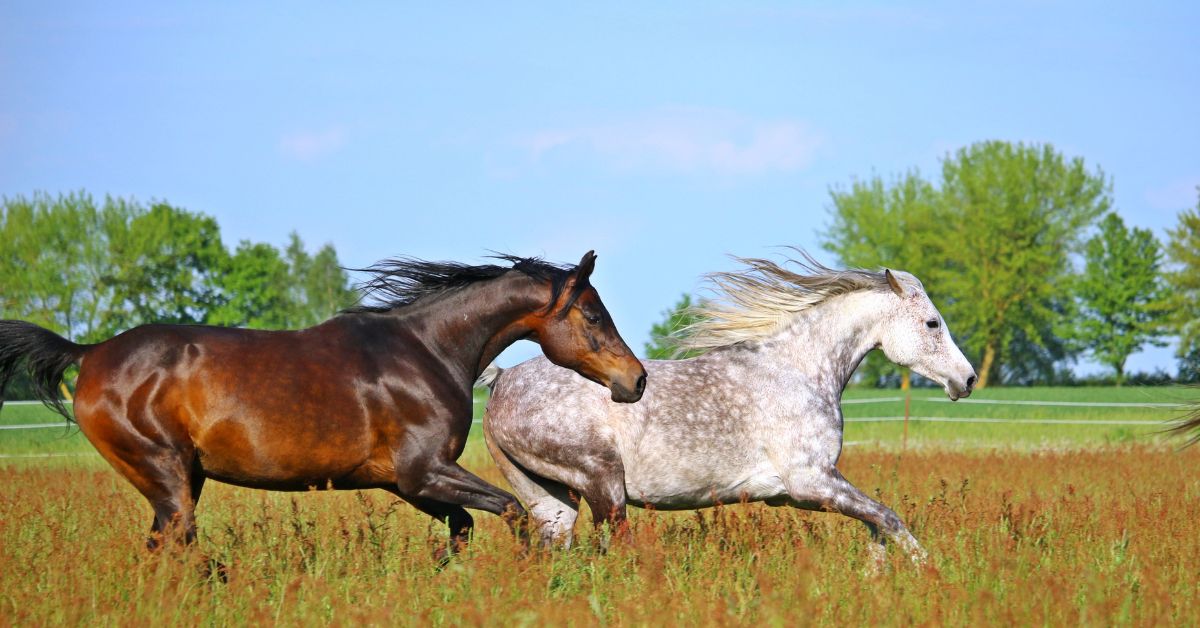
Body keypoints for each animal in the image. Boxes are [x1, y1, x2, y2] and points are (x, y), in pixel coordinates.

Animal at [0, 250, 648, 559]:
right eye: (593, 314)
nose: (636, 380)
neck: (427, 350)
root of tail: (90, 353)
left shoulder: (403, 482)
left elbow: (462, 527)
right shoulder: (424, 472)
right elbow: (512, 511)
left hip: (183, 479)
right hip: (165, 476)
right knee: (176, 547)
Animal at [477, 253, 974, 561]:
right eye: (932, 323)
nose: (966, 379)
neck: (797, 370)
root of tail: (501, 380)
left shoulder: (797, 492)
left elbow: (877, 524)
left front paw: (876, 574)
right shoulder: (812, 481)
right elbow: (888, 518)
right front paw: (928, 574)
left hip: (552, 500)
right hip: (604, 484)